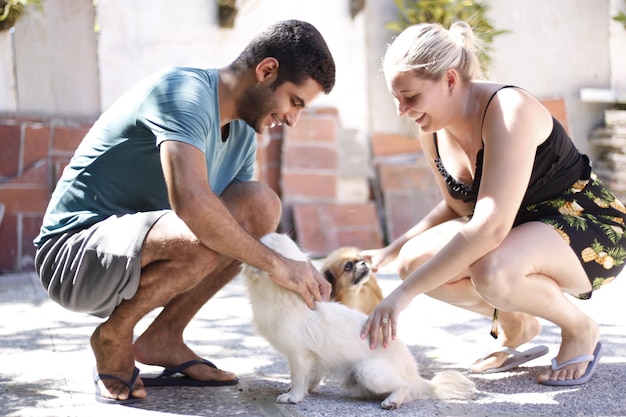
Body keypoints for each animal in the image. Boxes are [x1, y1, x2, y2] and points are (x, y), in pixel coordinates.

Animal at [244, 232, 472, 408]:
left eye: (264, 242)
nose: (255, 237)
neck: (286, 298)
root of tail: (416, 376)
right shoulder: (313, 359)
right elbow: (312, 377)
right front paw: (303, 390)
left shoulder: (299, 354)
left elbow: (298, 377)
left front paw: (293, 396)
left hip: (368, 372)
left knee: (404, 387)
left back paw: (393, 400)